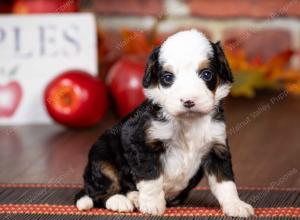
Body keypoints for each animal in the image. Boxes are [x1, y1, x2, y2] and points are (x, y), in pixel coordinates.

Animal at [75, 30, 253, 217]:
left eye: (206, 74)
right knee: (99, 191)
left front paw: (235, 205)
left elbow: (225, 182)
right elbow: (151, 176)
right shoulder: (141, 142)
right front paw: (152, 204)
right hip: (101, 158)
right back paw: (121, 201)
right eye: (168, 78)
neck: (188, 121)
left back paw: (134, 197)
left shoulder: (216, 147)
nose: (188, 101)